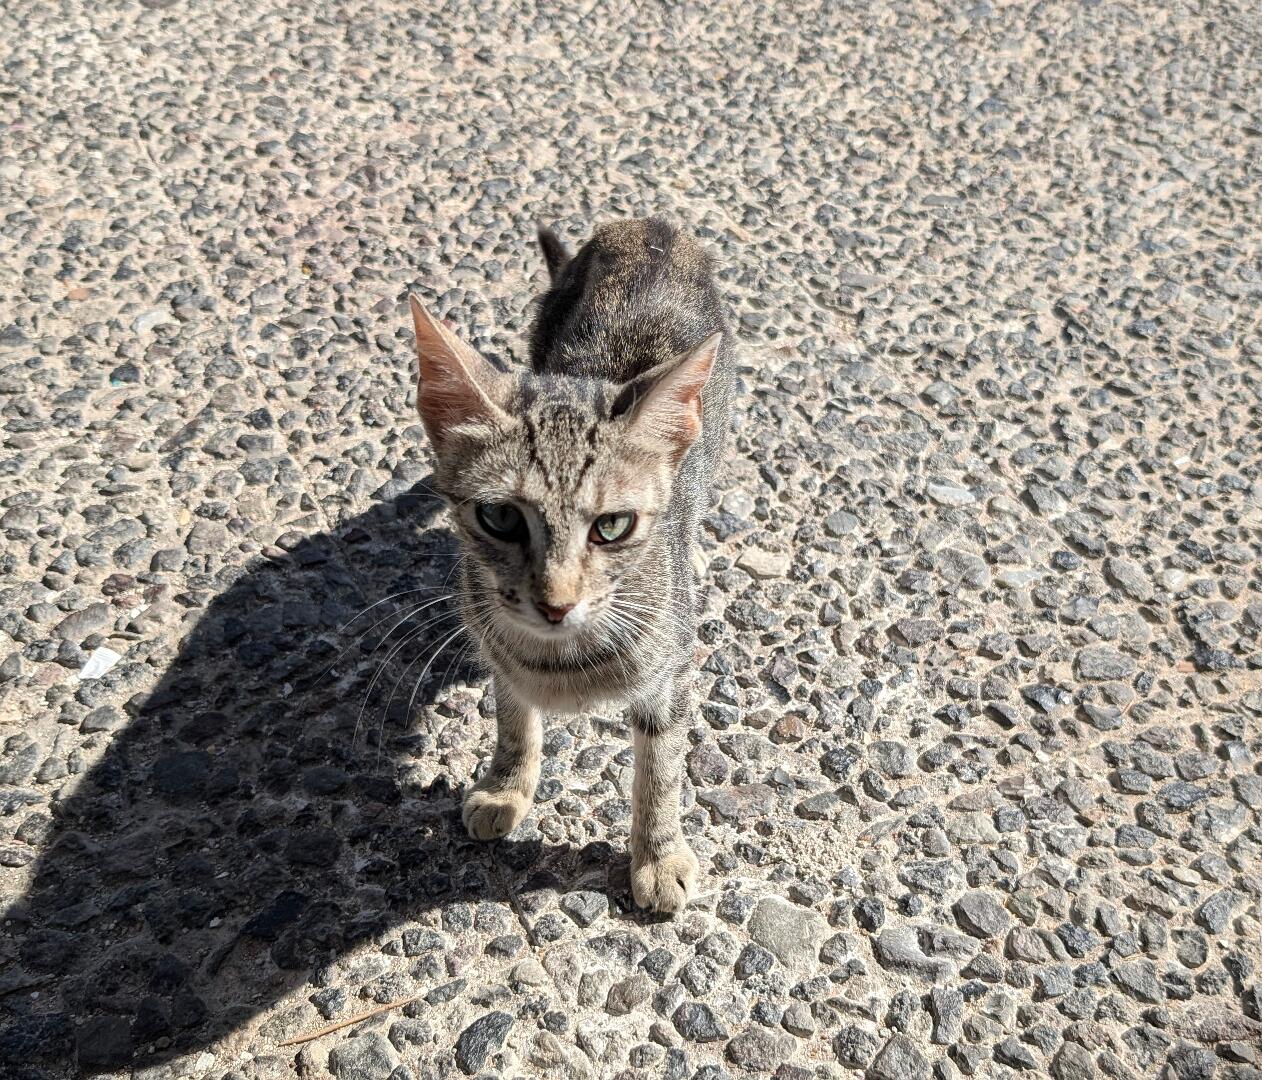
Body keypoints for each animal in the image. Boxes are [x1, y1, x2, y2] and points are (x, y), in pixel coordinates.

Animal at [408, 217, 733, 913]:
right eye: (500, 518)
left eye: (612, 526)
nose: (556, 603)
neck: (560, 660)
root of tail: (644, 223)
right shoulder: (499, 653)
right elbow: (513, 722)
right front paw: (506, 785)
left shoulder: (668, 677)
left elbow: (660, 771)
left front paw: (657, 855)